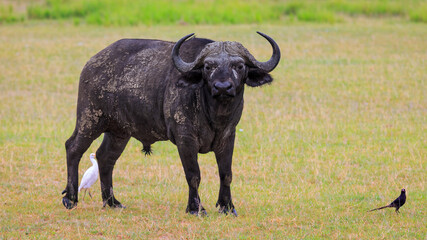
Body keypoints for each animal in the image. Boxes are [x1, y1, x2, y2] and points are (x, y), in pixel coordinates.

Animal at [61, 31, 280, 216]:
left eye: (239, 66)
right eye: (208, 67)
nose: (222, 87)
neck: (214, 114)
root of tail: (91, 64)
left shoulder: (228, 137)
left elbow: (226, 174)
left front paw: (227, 207)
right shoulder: (185, 139)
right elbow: (193, 175)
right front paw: (196, 208)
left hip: (119, 132)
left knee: (105, 157)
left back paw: (112, 202)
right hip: (90, 119)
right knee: (73, 147)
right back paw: (70, 198)